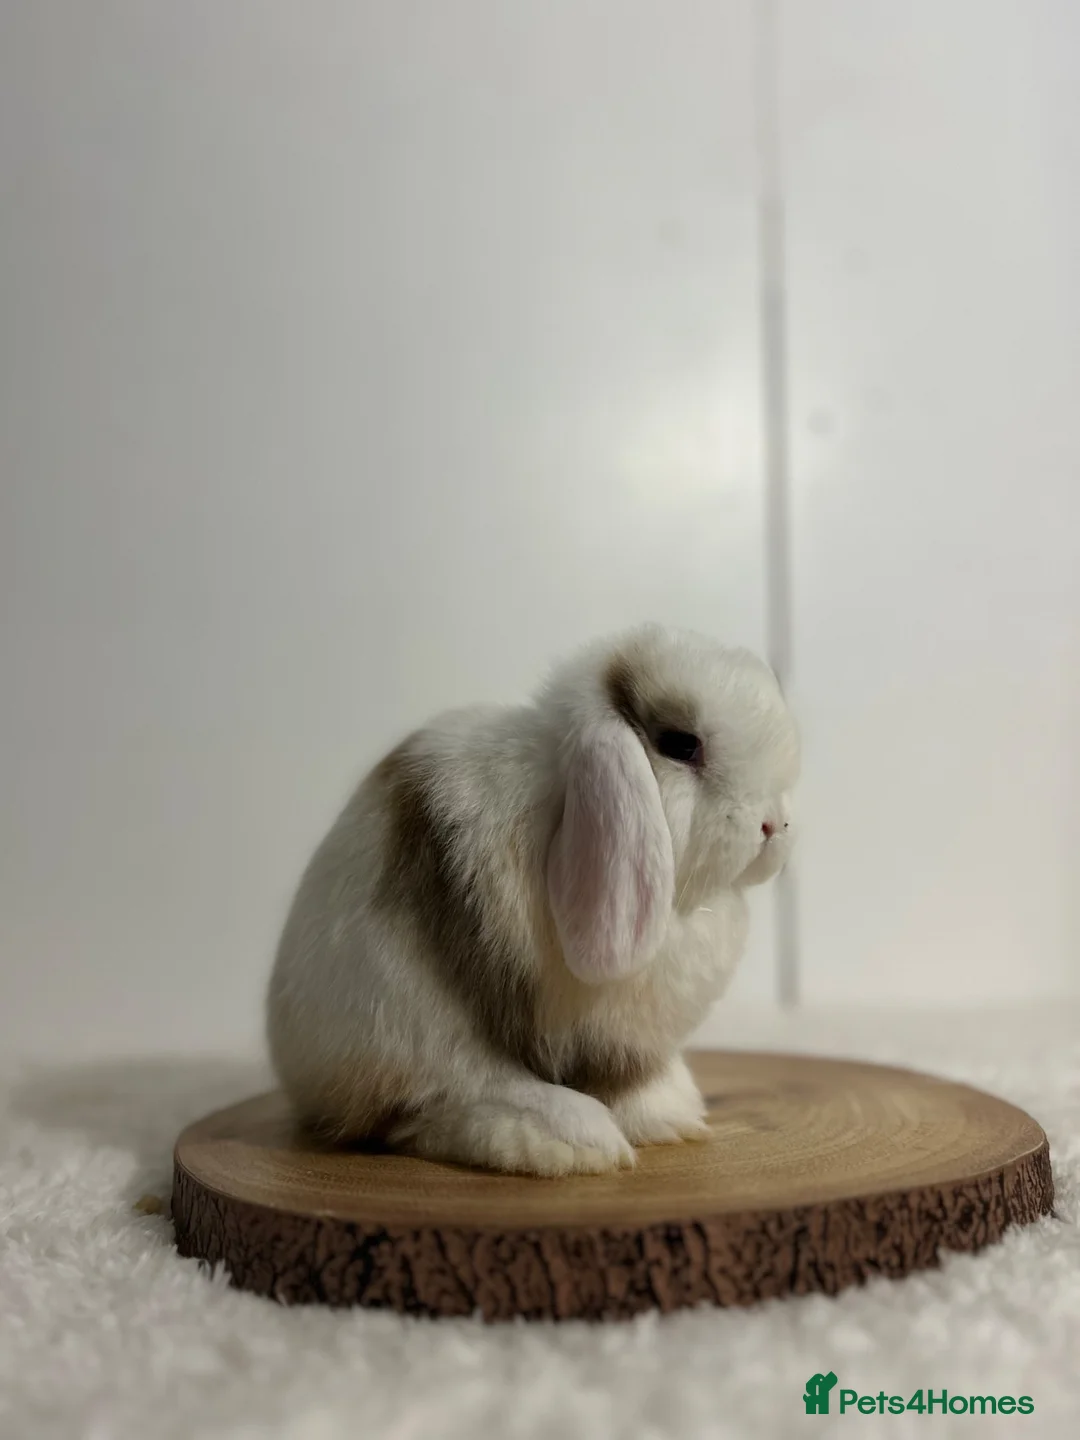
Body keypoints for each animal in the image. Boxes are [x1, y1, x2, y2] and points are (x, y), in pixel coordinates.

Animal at [267, 623, 799, 1177]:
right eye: (680, 744)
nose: (775, 825)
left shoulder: (623, 1045)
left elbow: (632, 1084)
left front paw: (674, 1118)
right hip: (403, 1017)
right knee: (440, 1101)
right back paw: (570, 1140)